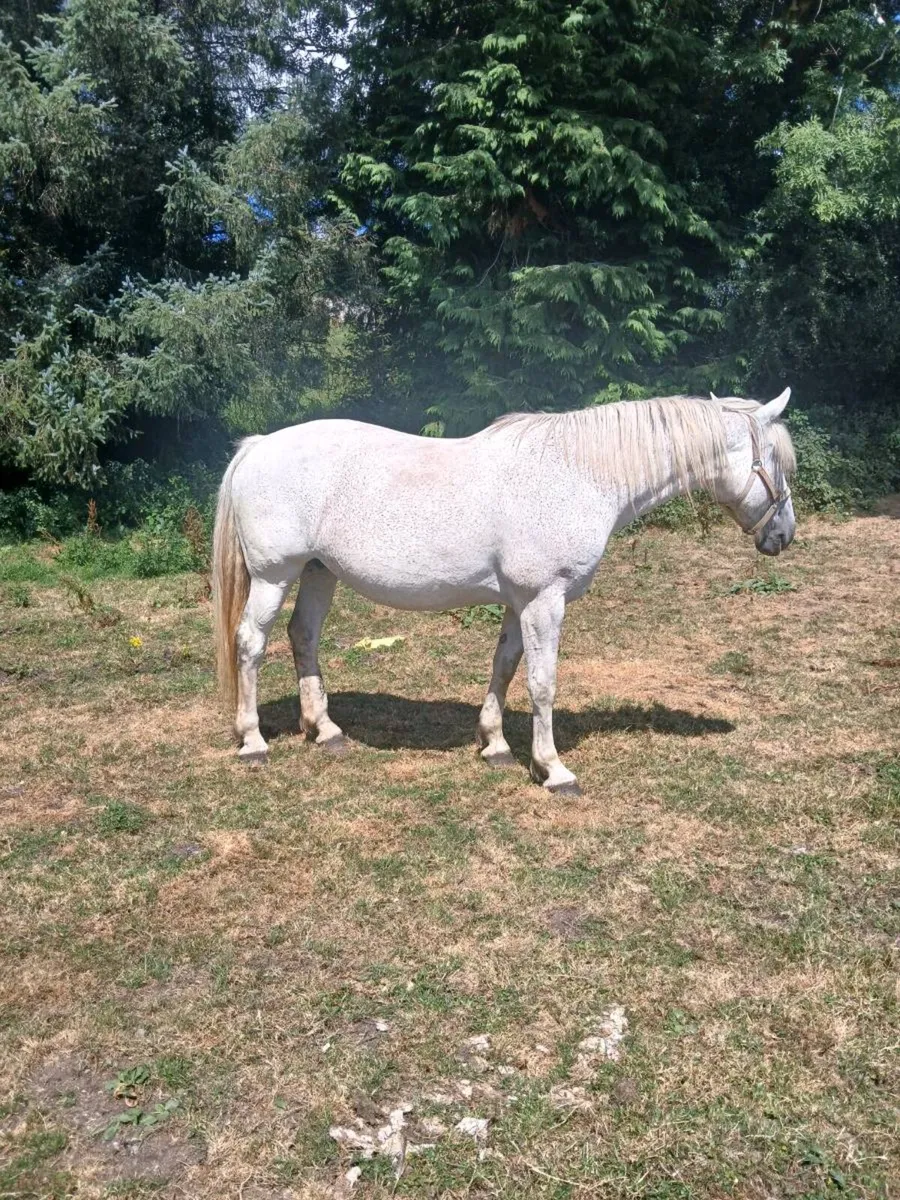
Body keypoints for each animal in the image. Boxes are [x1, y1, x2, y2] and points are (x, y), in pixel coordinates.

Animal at [212, 389, 795, 793]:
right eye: (776, 461)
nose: (784, 535)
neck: (579, 475)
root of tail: (257, 448)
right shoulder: (544, 600)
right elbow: (542, 684)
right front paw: (553, 769)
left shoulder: (521, 603)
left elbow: (505, 667)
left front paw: (494, 745)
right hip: (274, 575)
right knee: (251, 644)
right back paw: (253, 741)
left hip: (319, 571)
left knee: (304, 637)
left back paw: (326, 731)